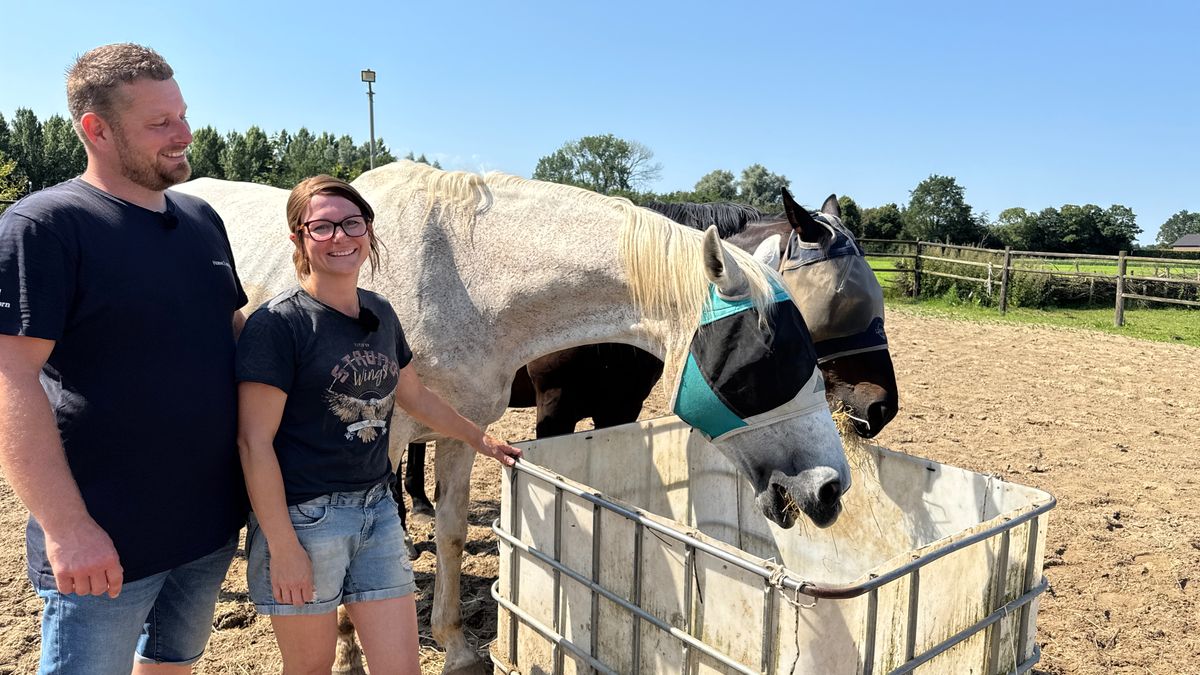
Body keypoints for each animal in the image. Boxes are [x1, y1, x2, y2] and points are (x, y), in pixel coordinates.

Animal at [174, 161, 852, 675]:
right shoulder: (379, 441)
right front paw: (345, 655)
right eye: (767, 356)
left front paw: (456, 648)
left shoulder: (455, 428)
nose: (830, 488)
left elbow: (449, 533)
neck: (460, 278)